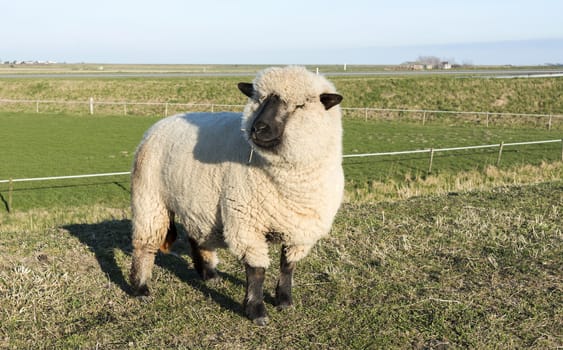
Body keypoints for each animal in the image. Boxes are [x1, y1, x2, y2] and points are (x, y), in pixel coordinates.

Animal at [130, 66, 346, 326]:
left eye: (300, 105)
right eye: (258, 99)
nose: (258, 128)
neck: (288, 182)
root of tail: (161, 123)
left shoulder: (302, 229)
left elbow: (288, 265)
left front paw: (285, 300)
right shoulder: (246, 222)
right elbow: (257, 270)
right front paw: (256, 311)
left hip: (196, 202)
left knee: (195, 236)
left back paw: (209, 274)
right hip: (150, 197)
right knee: (145, 243)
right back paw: (141, 288)